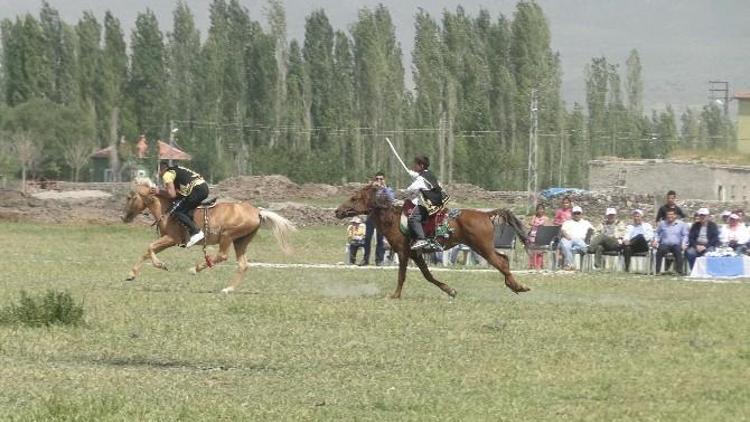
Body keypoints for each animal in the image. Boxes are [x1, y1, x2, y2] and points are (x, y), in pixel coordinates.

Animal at [121, 178, 296, 294]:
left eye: (130, 197)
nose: (123, 217)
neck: (167, 208)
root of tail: (257, 211)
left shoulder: (172, 239)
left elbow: (150, 248)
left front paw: (161, 265)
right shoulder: (168, 240)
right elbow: (147, 252)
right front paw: (131, 274)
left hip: (227, 236)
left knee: (222, 256)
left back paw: (195, 269)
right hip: (240, 241)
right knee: (243, 265)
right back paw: (227, 289)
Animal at [338, 185, 532, 300]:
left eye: (354, 198)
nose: (337, 211)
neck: (392, 219)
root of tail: (486, 214)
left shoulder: (403, 252)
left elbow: (402, 276)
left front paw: (395, 295)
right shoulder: (415, 254)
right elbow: (428, 276)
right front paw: (450, 290)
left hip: (483, 248)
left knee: (501, 262)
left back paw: (519, 286)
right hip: (483, 247)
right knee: (504, 259)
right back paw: (514, 286)